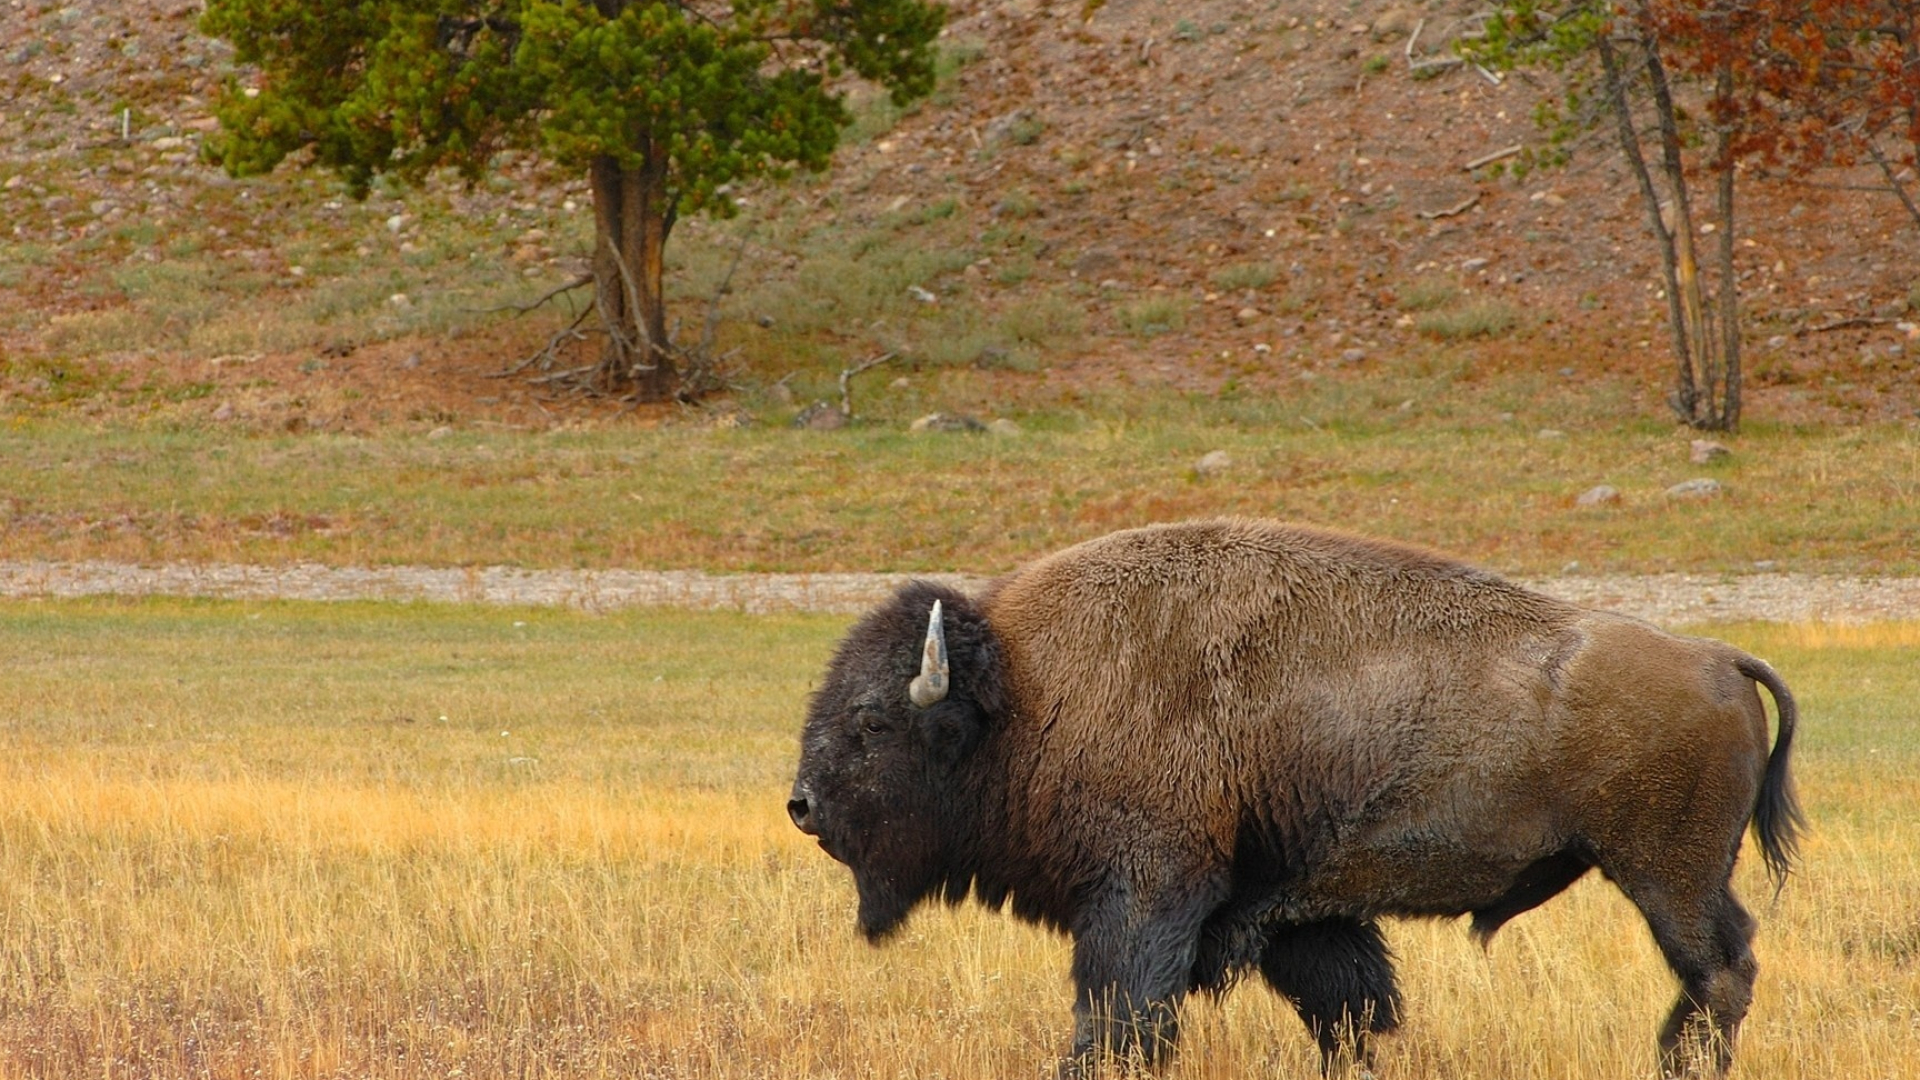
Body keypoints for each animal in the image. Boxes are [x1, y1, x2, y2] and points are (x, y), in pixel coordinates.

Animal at [787, 518, 1804, 1068]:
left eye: (873, 722)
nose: (800, 806)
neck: (1029, 690)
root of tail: (1719, 656)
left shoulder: (1145, 895)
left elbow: (1118, 1018)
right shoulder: (1295, 913)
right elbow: (1350, 1012)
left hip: (1666, 876)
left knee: (1720, 970)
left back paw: (1678, 1062)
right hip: (1676, 876)